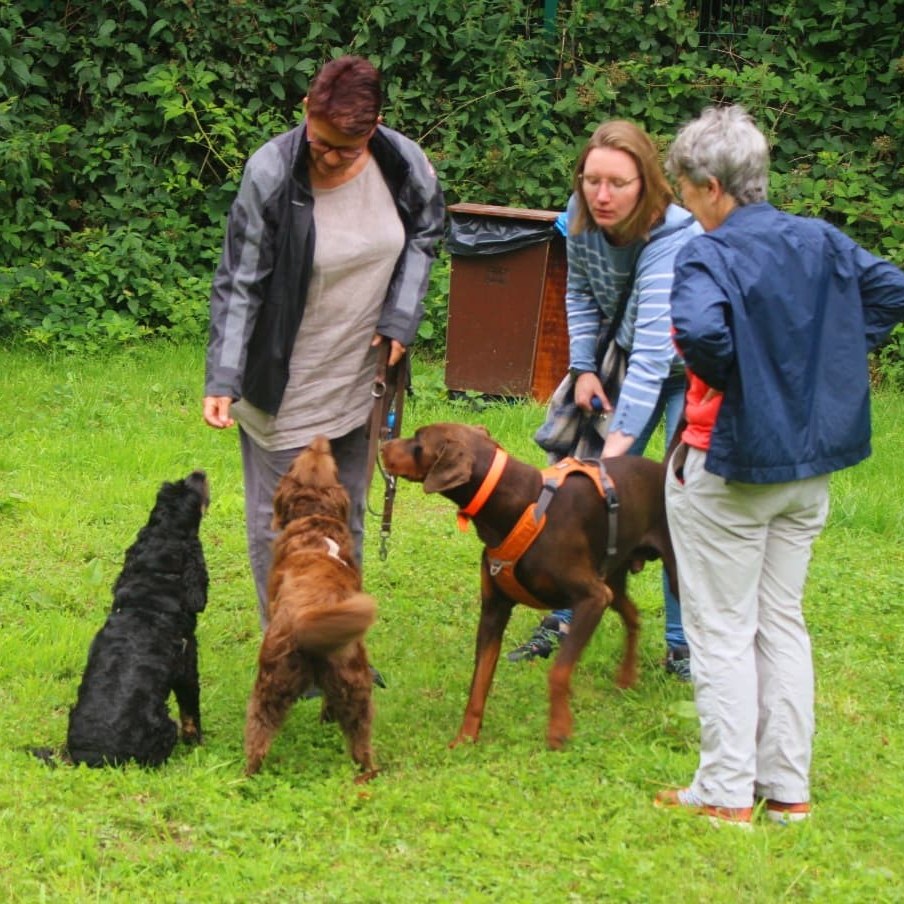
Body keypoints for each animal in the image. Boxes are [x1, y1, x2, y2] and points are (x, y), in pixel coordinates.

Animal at [66, 470, 211, 768]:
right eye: (190, 491)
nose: (198, 472)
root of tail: (93, 758)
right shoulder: (187, 665)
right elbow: (191, 711)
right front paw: (197, 743)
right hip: (165, 726)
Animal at [244, 434, 378, 780]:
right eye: (309, 454)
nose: (320, 437)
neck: (314, 519)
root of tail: (309, 616)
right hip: (352, 682)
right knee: (360, 742)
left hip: (270, 682)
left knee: (257, 734)